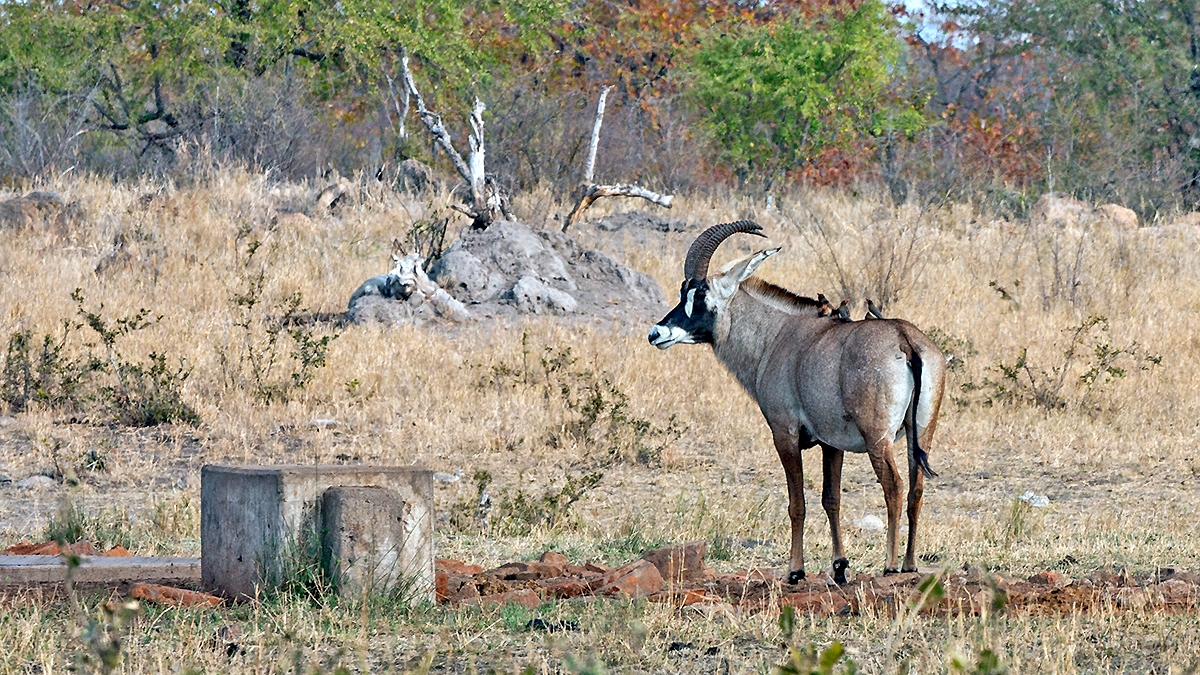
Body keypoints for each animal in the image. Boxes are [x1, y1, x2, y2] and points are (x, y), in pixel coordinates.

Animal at [647, 220, 945, 584]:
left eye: (700, 295)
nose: (657, 333)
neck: (778, 334)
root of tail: (905, 340)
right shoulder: (832, 444)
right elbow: (831, 499)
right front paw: (839, 566)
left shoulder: (784, 434)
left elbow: (797, 503)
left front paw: (795, 570)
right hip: (922, 432)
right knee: (916, 488)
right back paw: (909, 563)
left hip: (879, 438)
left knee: (894, 486)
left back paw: (890, 564)